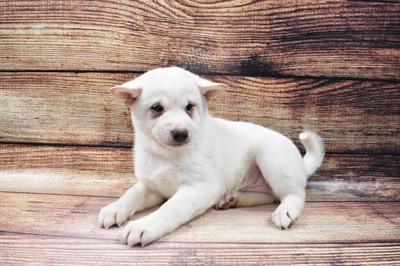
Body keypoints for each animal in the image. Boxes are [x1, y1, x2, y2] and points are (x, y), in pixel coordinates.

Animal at [97, 67, 324, 247]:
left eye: (190, 107)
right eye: (157, 108)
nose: (181, 134)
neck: (165, 155)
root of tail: (301, 164)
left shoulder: (200, 188)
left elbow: (170, 208)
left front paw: (145, 225)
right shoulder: (153, 187)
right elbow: (131, 194)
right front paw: (114, 209)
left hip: (270, 154)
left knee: (293, 194)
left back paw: (285, 211)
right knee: (270, 195)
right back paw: (233, 199)